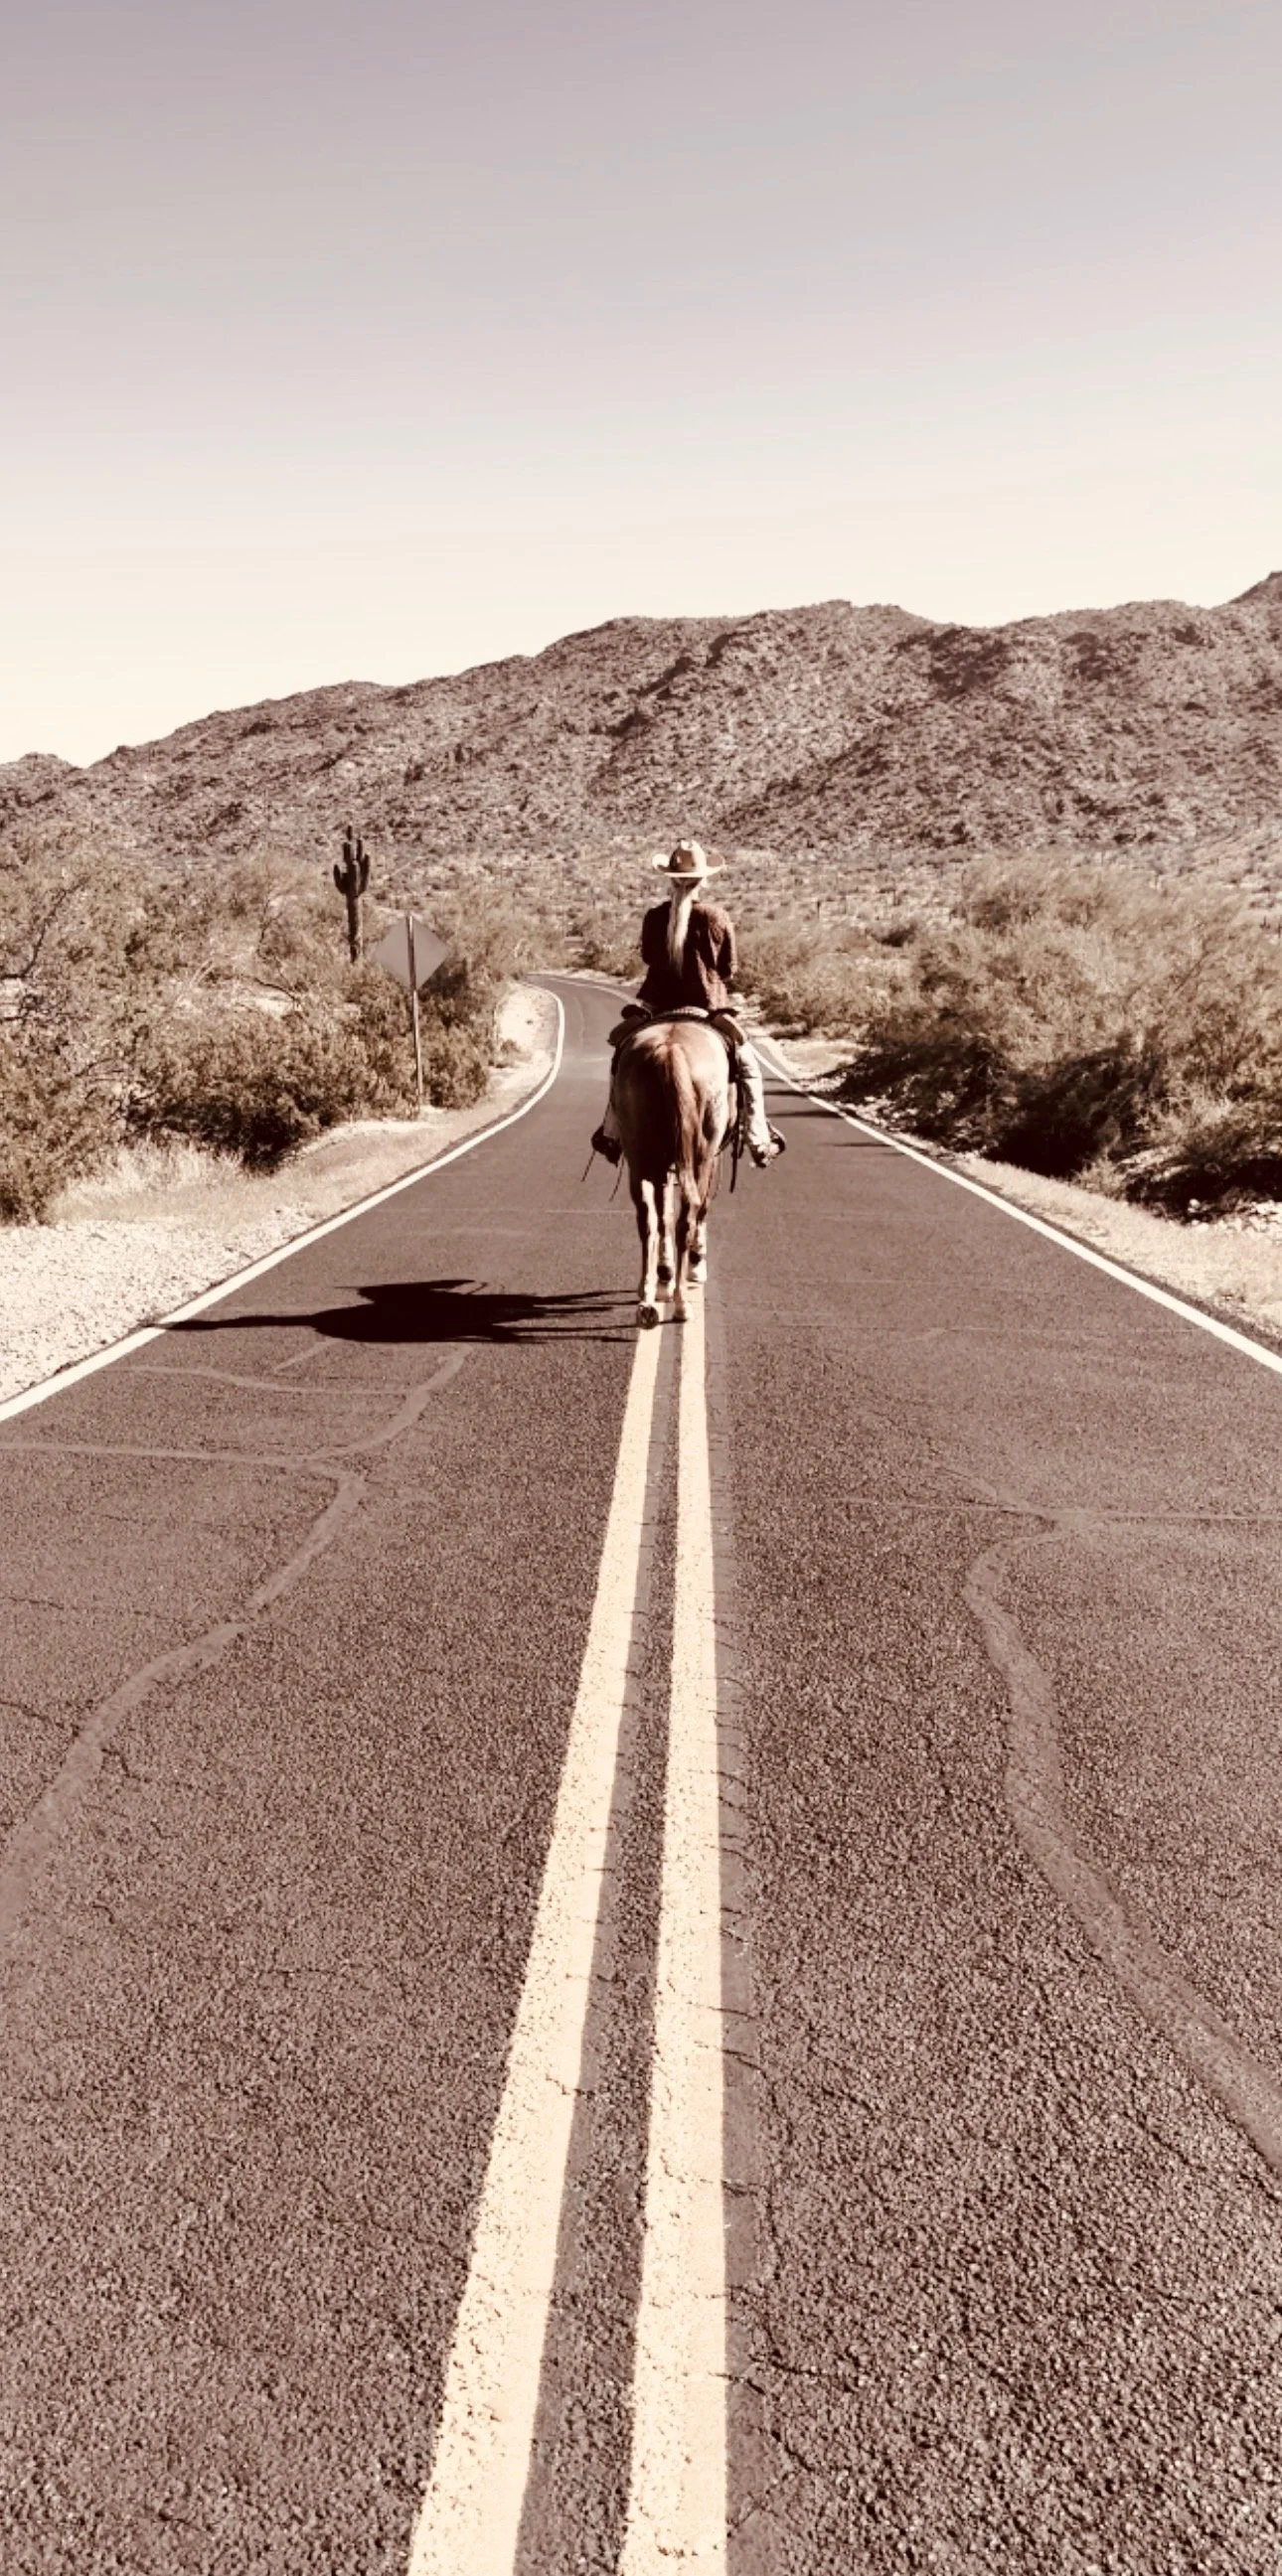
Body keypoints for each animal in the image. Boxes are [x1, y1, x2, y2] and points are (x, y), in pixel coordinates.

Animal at [613, 1018, 732, 1327]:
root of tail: (670, 1051)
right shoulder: (711, 1160)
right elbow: (701, 1209)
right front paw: (695, 1265)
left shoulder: (662, 1168)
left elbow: (663, 1213)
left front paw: (663, 1276)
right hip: (700, 1157)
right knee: (688, 1213)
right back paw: (680, 1302)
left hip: (640, 1160)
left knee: (647, 1219)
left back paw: (647, 1299)